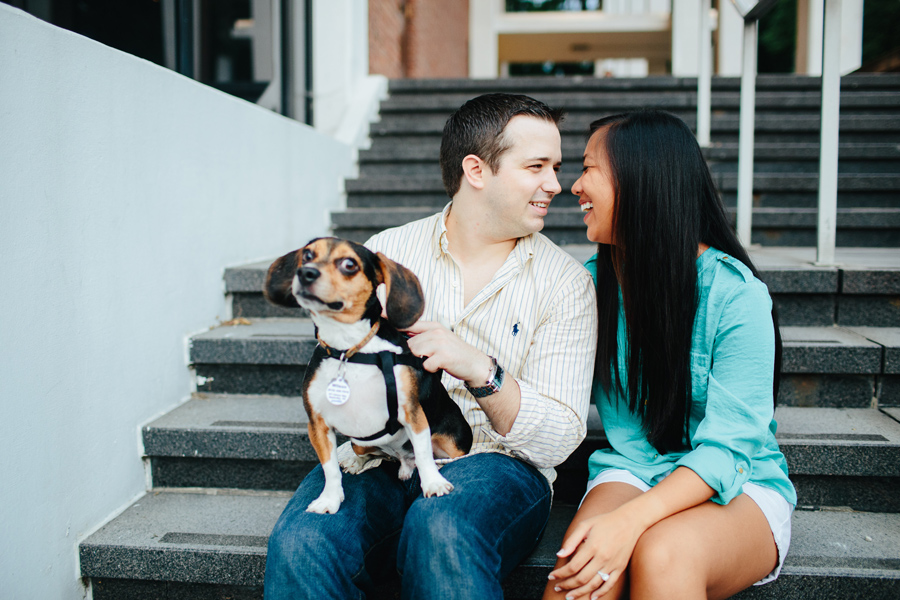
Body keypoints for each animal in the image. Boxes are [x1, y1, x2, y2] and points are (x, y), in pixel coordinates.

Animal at [264, 237, 474, 512]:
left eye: (349, 264)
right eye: (307, 255)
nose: (305, 273)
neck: (349, 349)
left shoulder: (413, 414)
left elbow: (424, 454)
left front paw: (433, 484)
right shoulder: (318, 424)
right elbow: (330, 468)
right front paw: (330, 499)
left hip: (452, 443)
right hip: (360, 442)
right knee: (380, 455)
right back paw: (361, 463)